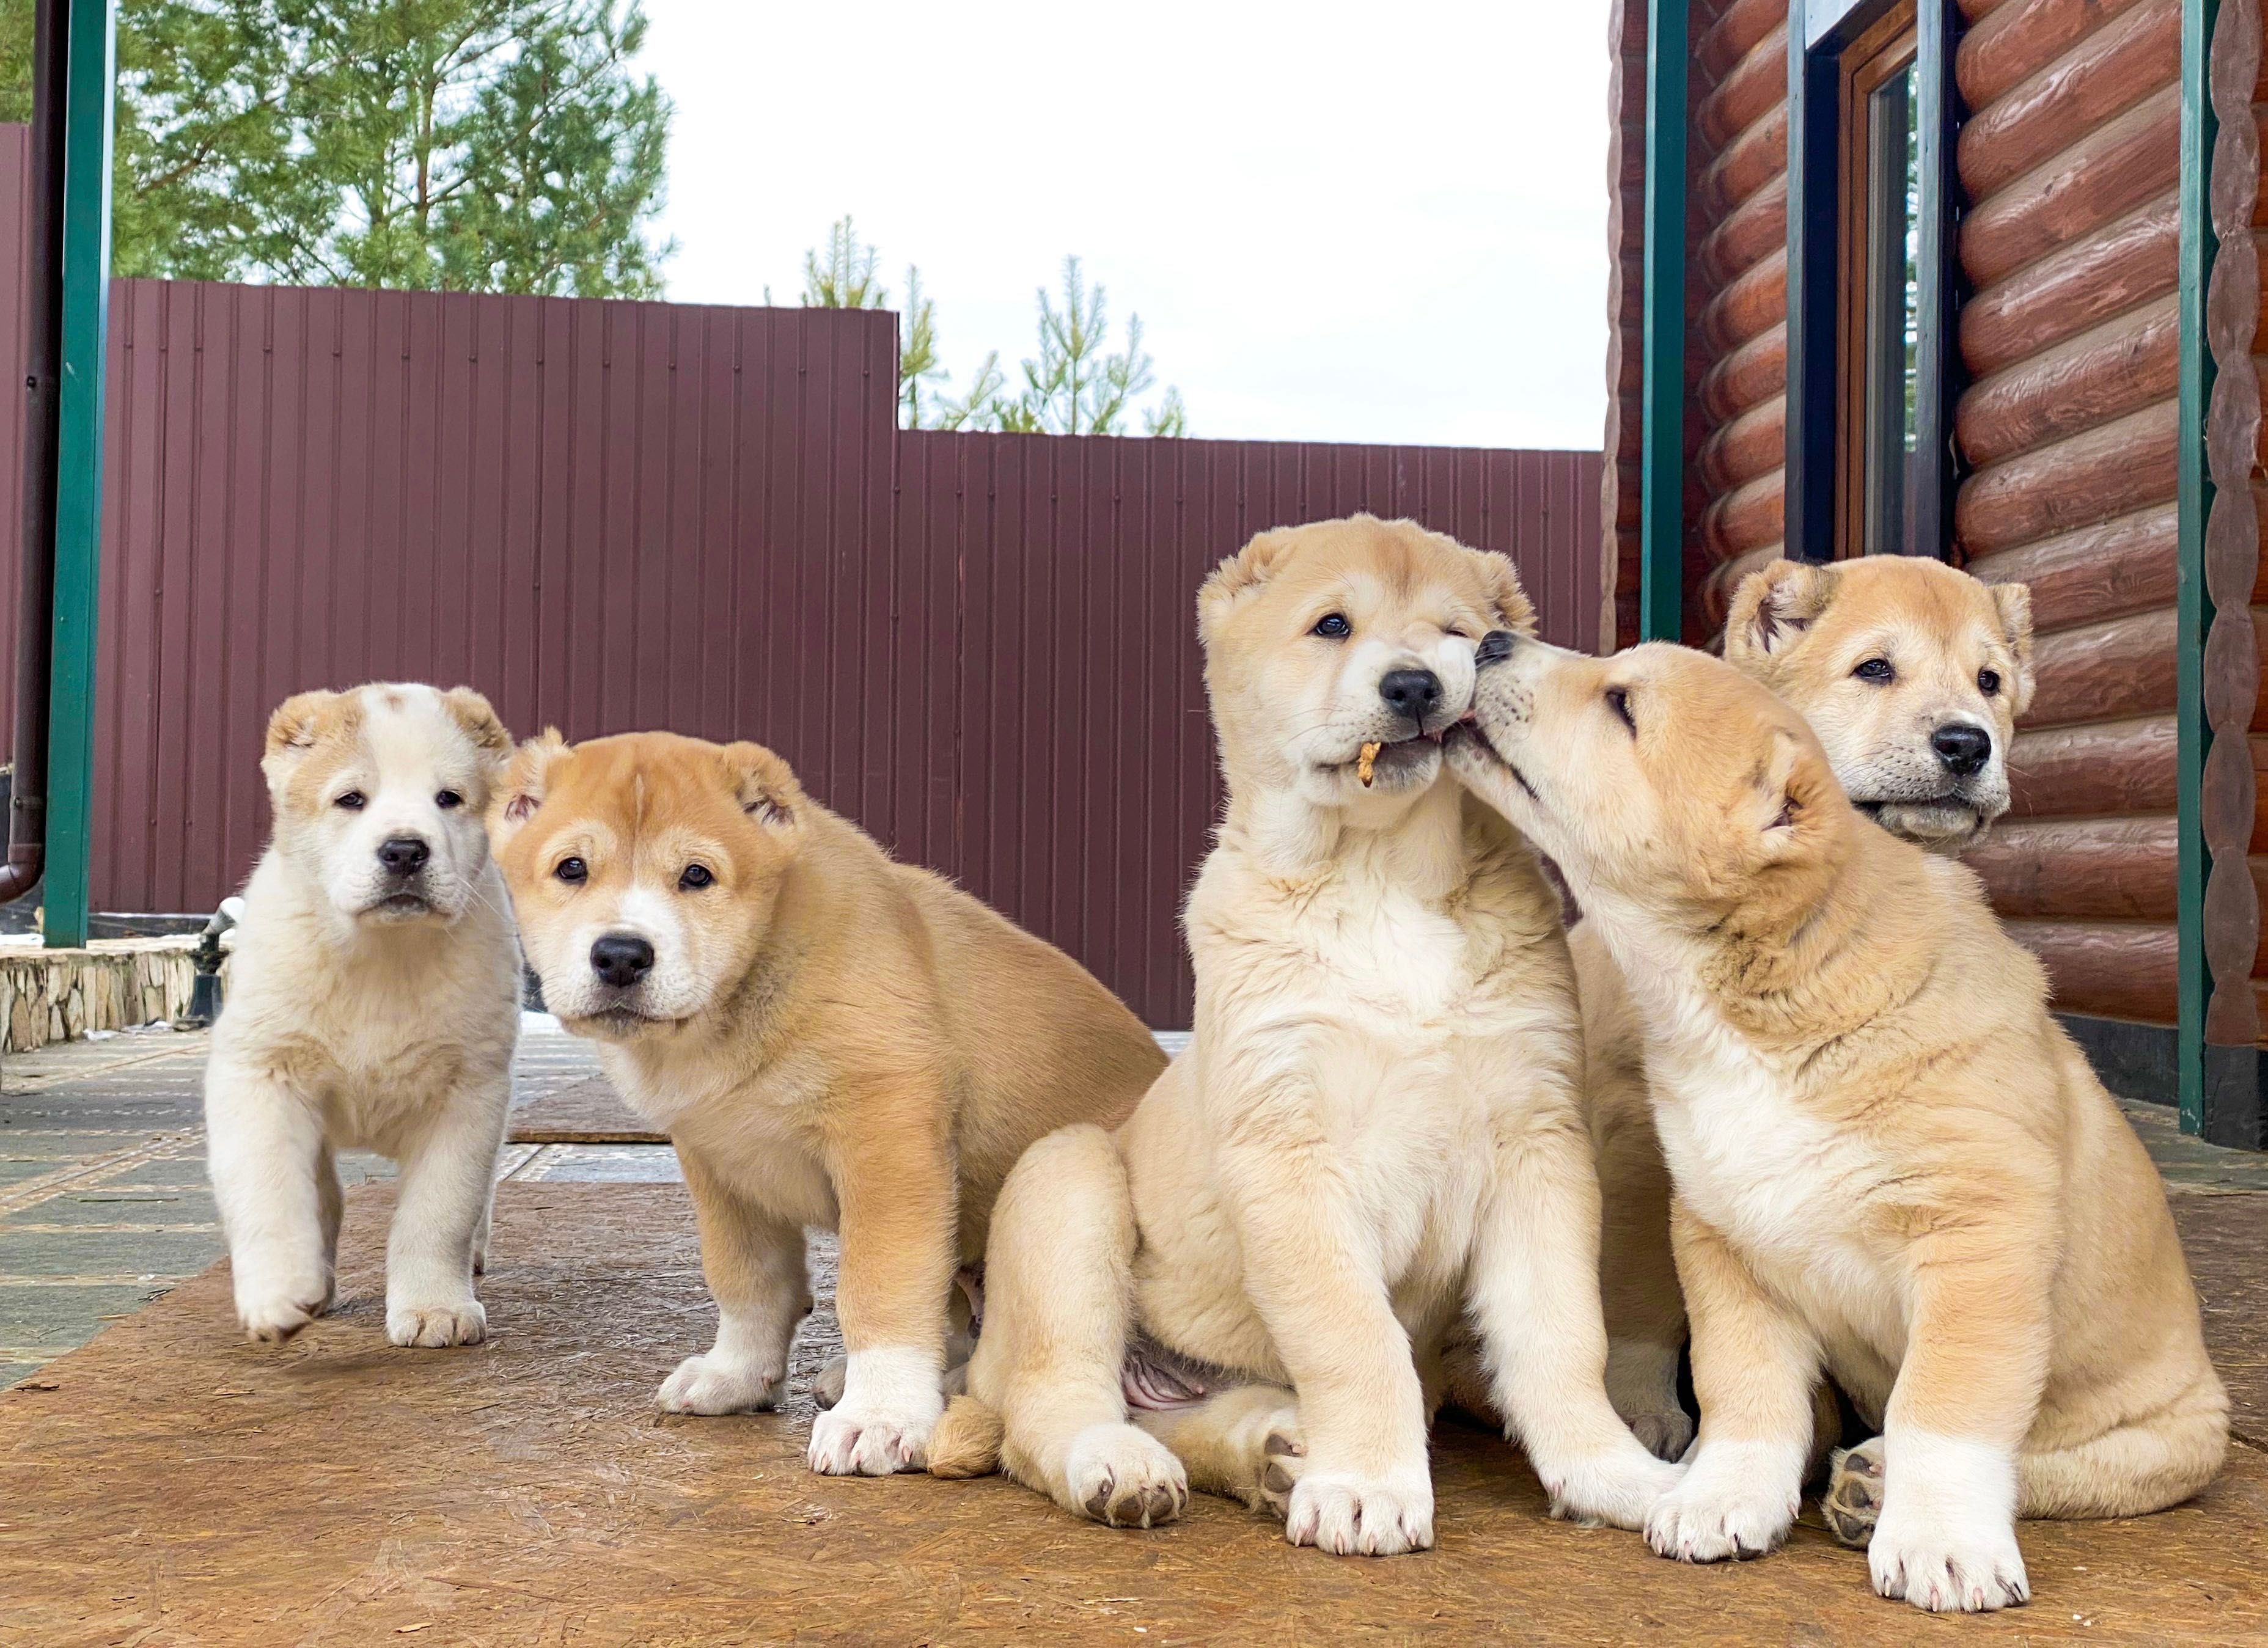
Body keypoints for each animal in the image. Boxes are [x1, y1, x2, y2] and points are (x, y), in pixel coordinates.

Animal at [205, 689, 519, 1351]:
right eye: (351, 799)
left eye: (449, 798)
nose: (405, 850)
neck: (381, 956)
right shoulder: (260, 1073)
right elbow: (270, 1190)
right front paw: (278, 1295)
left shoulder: (470, 1091)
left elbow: (441, 1208)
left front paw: (434, 1308)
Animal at [494, 730, 1170, 1478]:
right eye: (572, 869)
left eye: (697, 876)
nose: (619, 956)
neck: (737, 1006)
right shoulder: (721, 1165)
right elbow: (747, 1280)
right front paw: (738, 1375)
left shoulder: (890, 1145)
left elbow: (880, 1287)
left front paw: (880, 1416)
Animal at [930, 519, 1696, 1559]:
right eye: (1331, 625)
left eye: (1457, 635)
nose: (1414, 686)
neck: (1380, 878)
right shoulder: (1287, 1148)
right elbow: (1353, 1335)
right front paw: (1368, 1486)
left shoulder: (1537, 1146)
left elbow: (1560, 1335)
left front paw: (1608, 1472)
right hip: (1070, 1181)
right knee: (1050, 1404)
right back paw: (1122, 1467)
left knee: (1186, 1418)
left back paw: (1270, 1452)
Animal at [1442, 639, 2222, 1614]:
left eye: (1622, 704)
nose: (1489, 642)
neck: (1763, 994)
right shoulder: (1726, 1238)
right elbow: (1743, 1389)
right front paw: (1723, 1495)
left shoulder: (1976, 1242)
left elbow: (1947, 1407)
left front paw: (1941, 1545)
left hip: (2171, 1435)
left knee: (2060, 1463)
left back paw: (1876, 1486)